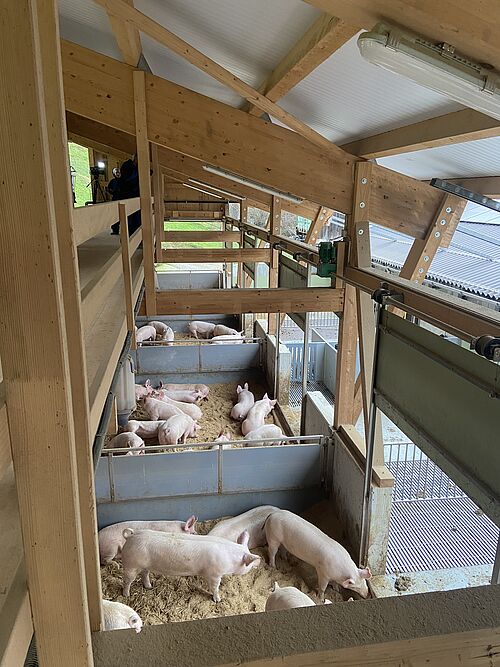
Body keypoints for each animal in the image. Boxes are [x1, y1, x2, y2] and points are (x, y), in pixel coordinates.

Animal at [122, 528, 260, 604]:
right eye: (250, 563)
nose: (259, 561)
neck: (230, 559)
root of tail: (132, 535)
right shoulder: (215, 574)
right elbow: (215, 587)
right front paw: (218, 600)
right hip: (131, 564)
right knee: (127, 580)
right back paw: (126, 595)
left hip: (144, 565)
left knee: (144, 574)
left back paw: (149, 587)